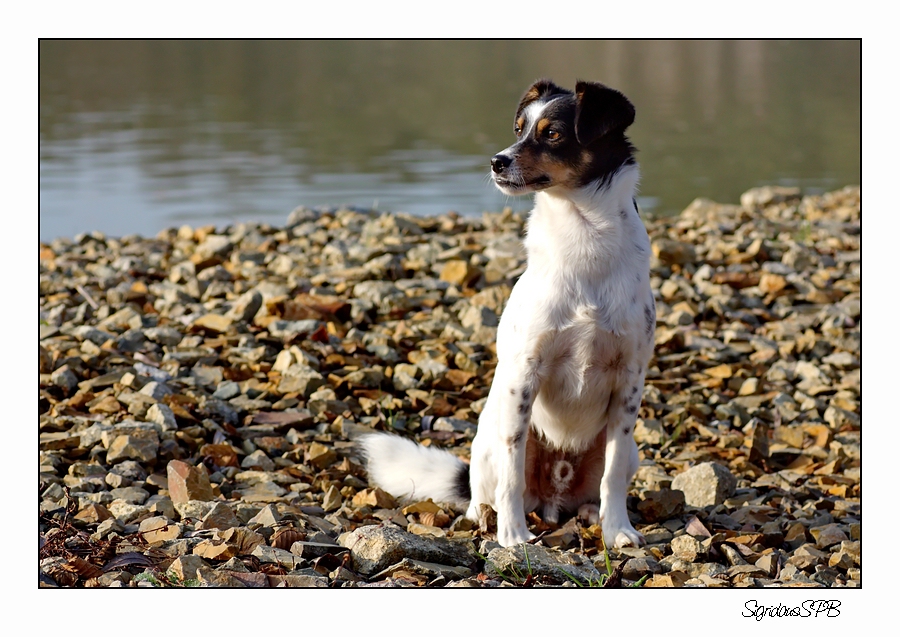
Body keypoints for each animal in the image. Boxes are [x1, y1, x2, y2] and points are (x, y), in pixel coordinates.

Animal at [360, 79, 652, 548]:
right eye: (519, 128)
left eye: (553, 134)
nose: (497, 161)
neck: (584, 234)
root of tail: (552, 500)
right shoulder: (523, 376)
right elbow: (512, 477)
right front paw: (512, 536)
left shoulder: (629, 383)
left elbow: (612, 477)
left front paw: (618, 530)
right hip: (490, 442)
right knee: (489, 490)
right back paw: (486, 518)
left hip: (631, 451)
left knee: (603, 479)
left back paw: (592, 513)